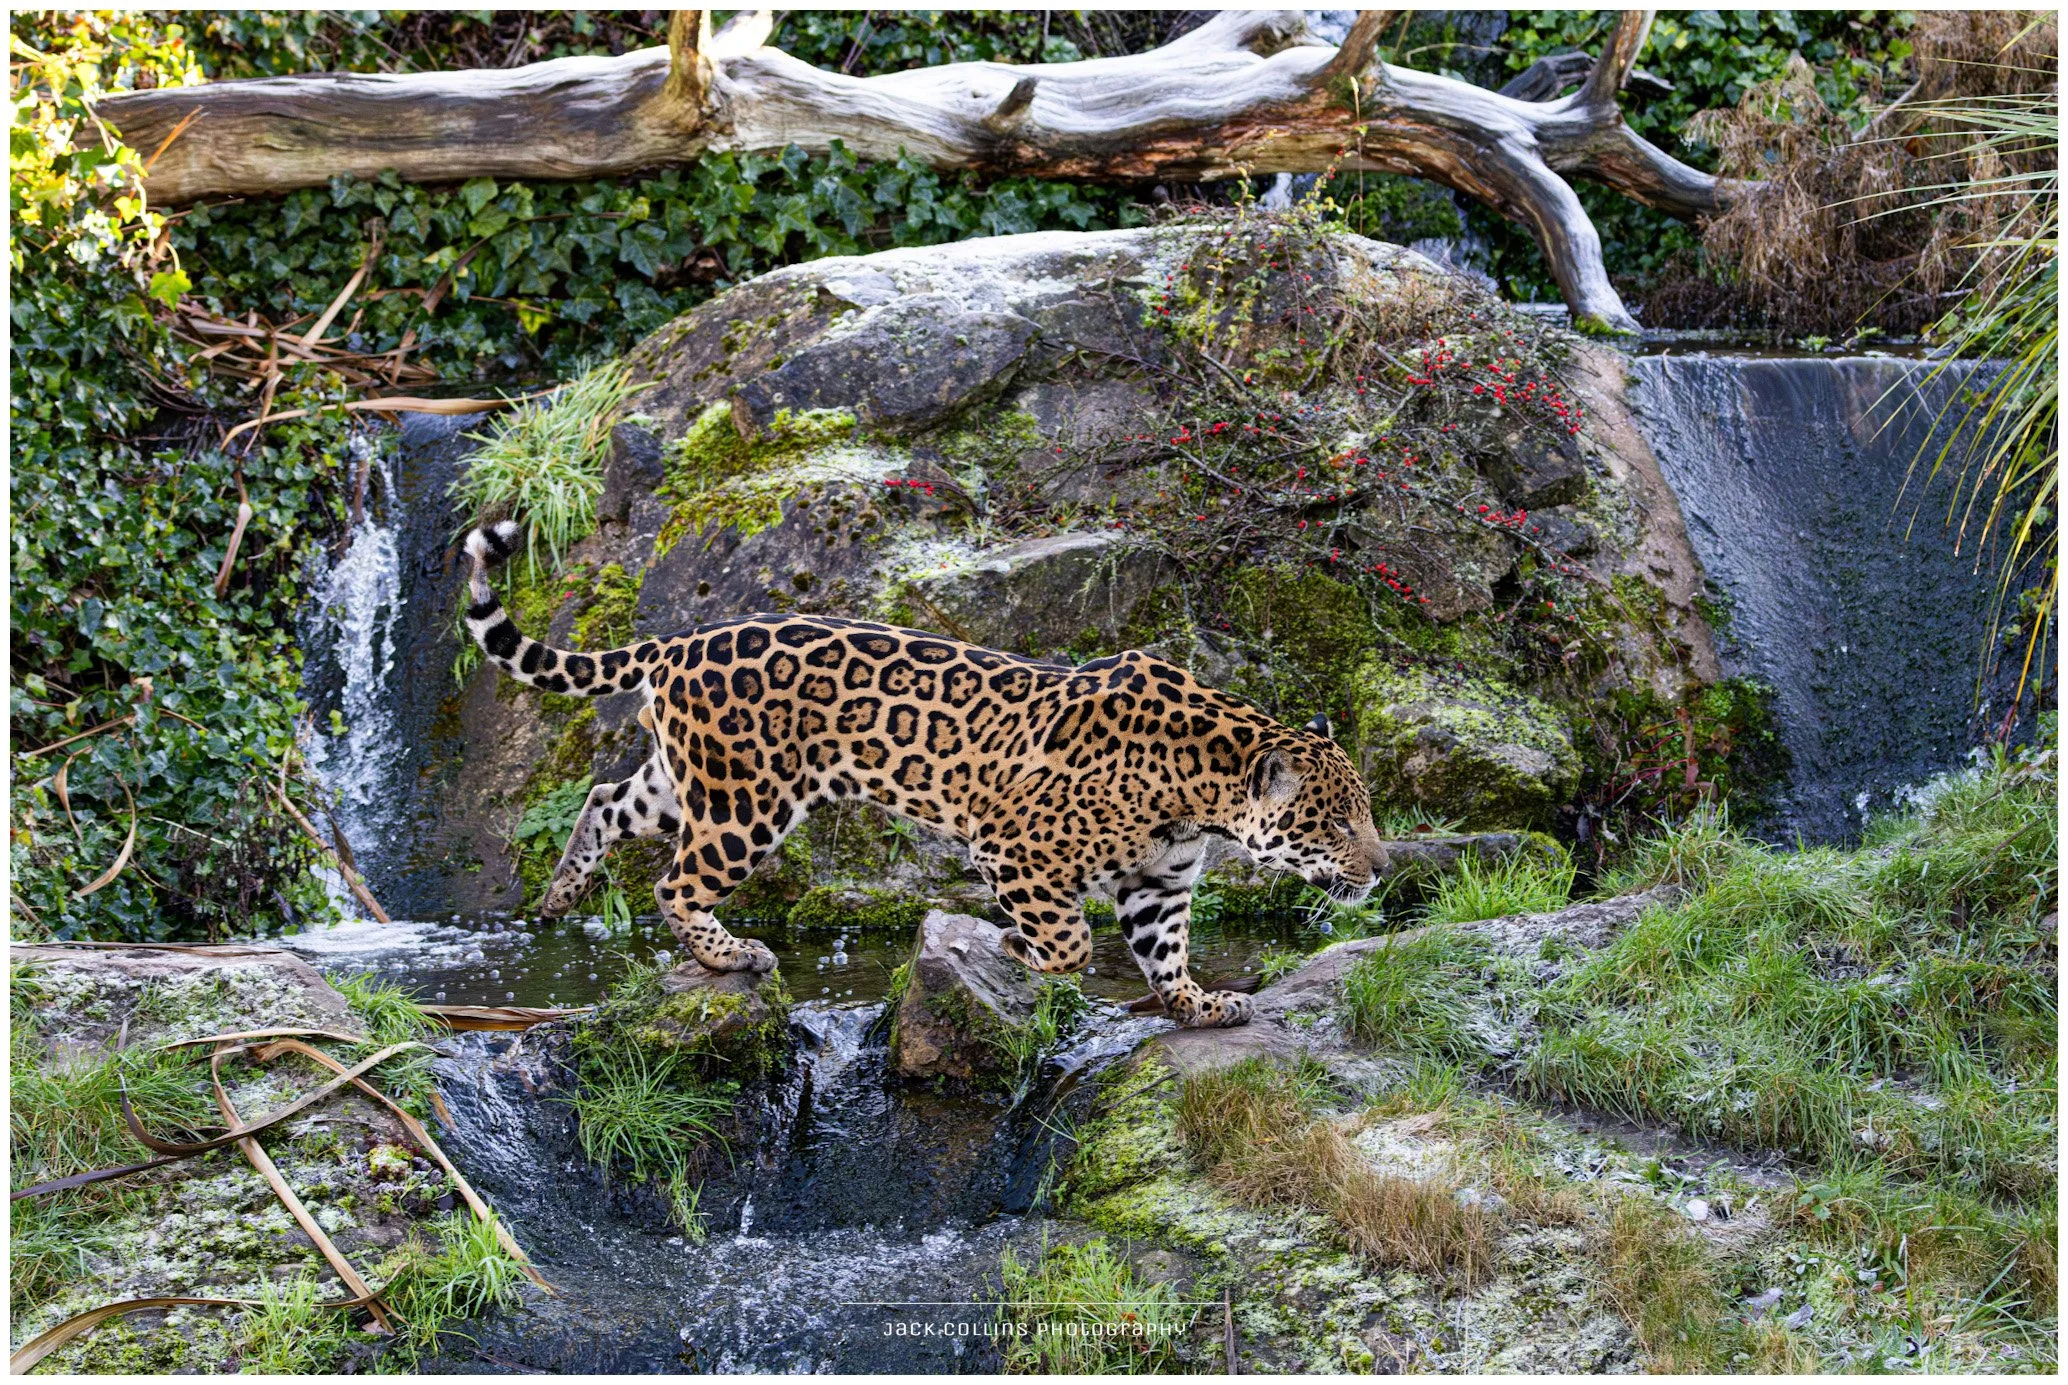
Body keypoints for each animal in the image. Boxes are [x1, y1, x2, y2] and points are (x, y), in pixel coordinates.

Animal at [463, 520, 1385, 1027]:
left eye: (1363, 813)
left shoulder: (1159, 883)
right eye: (1336, 821)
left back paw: (561, 893)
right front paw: (1015, 947)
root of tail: (678, 642)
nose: (1382, 867)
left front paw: (1201, 1006)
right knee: (674, 883)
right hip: (746, 803)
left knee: (604, 797)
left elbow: (1164, 955)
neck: (1201, 787)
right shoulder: (1013, 847)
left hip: (691, 779)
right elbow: (1070, 943)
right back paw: (733, 954)